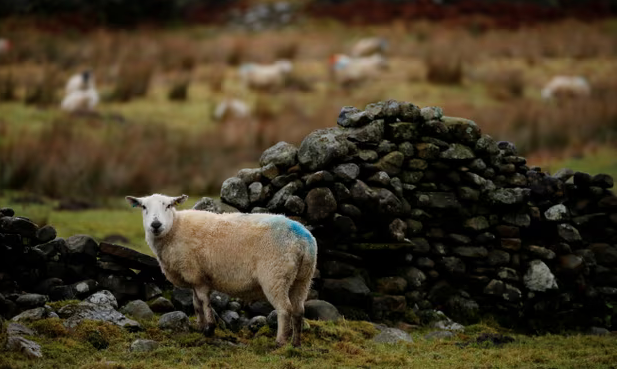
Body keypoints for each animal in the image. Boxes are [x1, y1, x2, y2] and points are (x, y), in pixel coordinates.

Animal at [125, 194, 318, 346]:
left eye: (169, 205)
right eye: (144, 207)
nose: (156, 225)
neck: (175, 228)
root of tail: (302, 239)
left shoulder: (197, 274)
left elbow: (204, 302)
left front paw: (209, 328)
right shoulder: (194, 278)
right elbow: (196, 304)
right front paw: (200, 326)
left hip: (275, 275)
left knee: (285, 309)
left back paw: (280, 343)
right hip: (302, 278)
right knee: (299, 310)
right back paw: (296, 343)